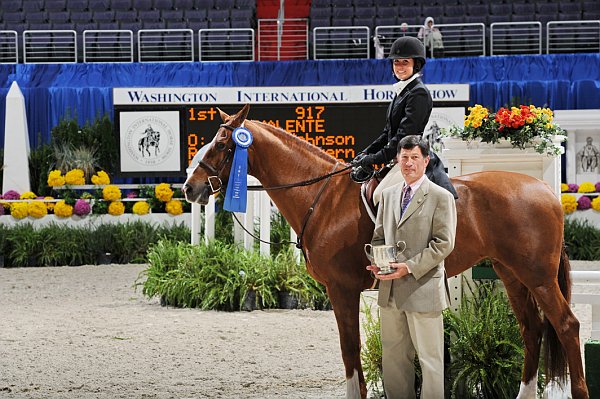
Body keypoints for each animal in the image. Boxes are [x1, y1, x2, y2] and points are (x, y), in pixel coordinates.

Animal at [182, 105, 584, 399]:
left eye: (222, 145)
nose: (189, 188)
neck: (322, 198)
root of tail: (546, 192)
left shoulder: (341, 289)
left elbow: (350, 350)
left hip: (538, 276)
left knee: (566, 325)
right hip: (511, 273)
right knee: (532, 329)